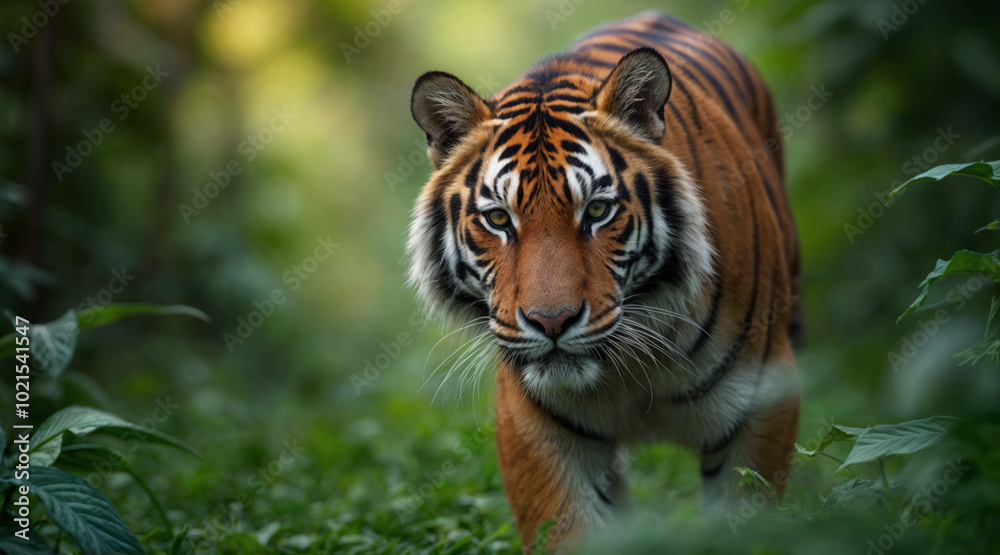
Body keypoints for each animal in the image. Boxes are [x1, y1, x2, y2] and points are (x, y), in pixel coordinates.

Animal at [406, 11, 802, 551]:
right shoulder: (537, 428)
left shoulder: (762, 404)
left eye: (596, 211)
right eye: (499, 219)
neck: (627, 370)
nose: (552, 322)